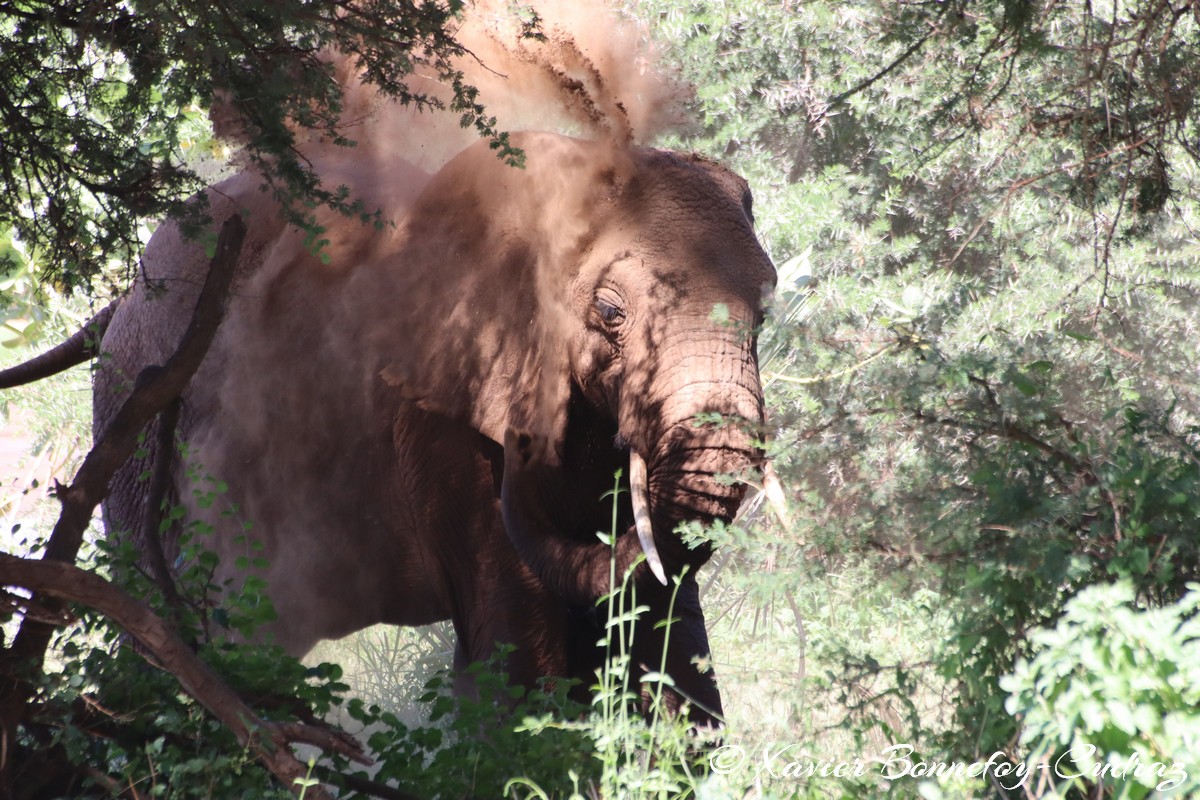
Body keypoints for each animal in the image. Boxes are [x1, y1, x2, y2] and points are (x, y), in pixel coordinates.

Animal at [96, 131, 777, 724]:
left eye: (764, 316)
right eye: (610, 312)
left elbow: (665, 621)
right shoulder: (444, 418)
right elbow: (517, 643)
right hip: (133, 413)